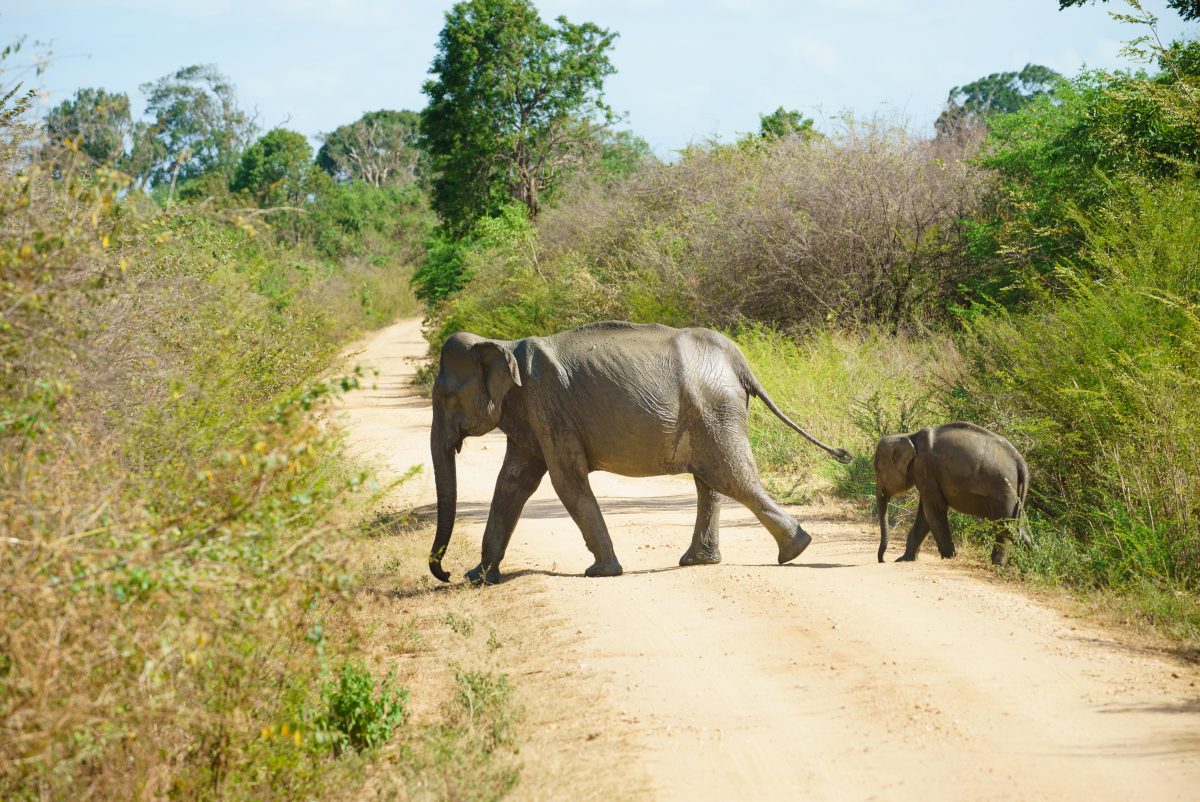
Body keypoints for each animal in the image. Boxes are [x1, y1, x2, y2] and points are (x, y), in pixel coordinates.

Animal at [427, 316, 849, 583]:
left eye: (445, 396)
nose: (445, 574)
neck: (503, 346)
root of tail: (739, 361)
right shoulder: (530, 416)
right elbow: (512, 483)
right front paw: (480, 578)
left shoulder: (547, 407)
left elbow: (566, 481)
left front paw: (602, 572)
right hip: (710, 413)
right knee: (711, 480)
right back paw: (701, 561)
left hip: (713, 408)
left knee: (731, 477)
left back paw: (795, 550)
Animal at [873, 422, 1032, 566]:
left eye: (878, 471)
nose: (883, 560)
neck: (909, 436)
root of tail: (1020, 462)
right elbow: (925, 514)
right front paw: (903, 559)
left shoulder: (926, 468)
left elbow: (934, 510)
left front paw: (949, 557)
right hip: (1012, 493)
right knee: (1013, 527)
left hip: (1004, 490)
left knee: (1006, 526)